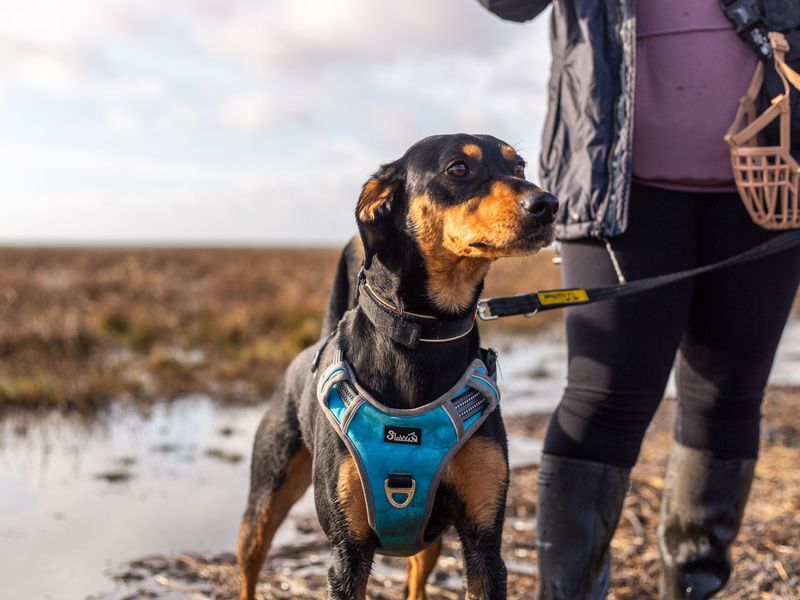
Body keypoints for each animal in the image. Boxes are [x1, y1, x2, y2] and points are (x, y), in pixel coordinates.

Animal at [238, 134, 556, 596]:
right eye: (458, 169)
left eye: (520, 168)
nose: (548, 204)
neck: (422, 334)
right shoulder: (346, 553)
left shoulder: (484, 543)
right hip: (264, 498)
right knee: (249, 561)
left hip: (428, 538)